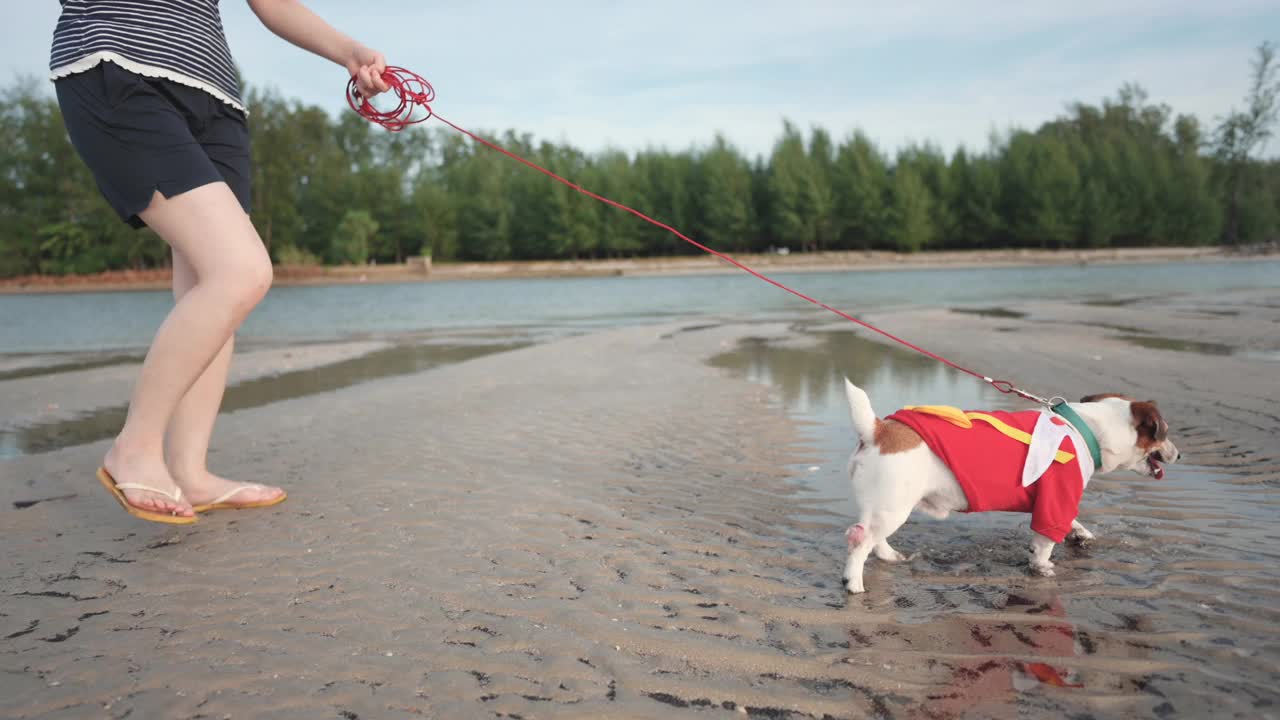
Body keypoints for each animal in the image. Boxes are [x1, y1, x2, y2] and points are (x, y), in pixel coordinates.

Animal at [839, 379, 1177, 591]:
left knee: (872, 536)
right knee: (860, 542)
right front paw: (1044, 568)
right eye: (1163, 433)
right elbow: (1044, 544)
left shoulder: (1056, 502)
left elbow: (1071, 520)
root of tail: (878, 430)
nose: (1179, 454)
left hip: (883, 508)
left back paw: (889, 556)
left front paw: (1080, 533)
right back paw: (853, 584)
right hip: (893, 507)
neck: (1085, 429)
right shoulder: (1057, 498)